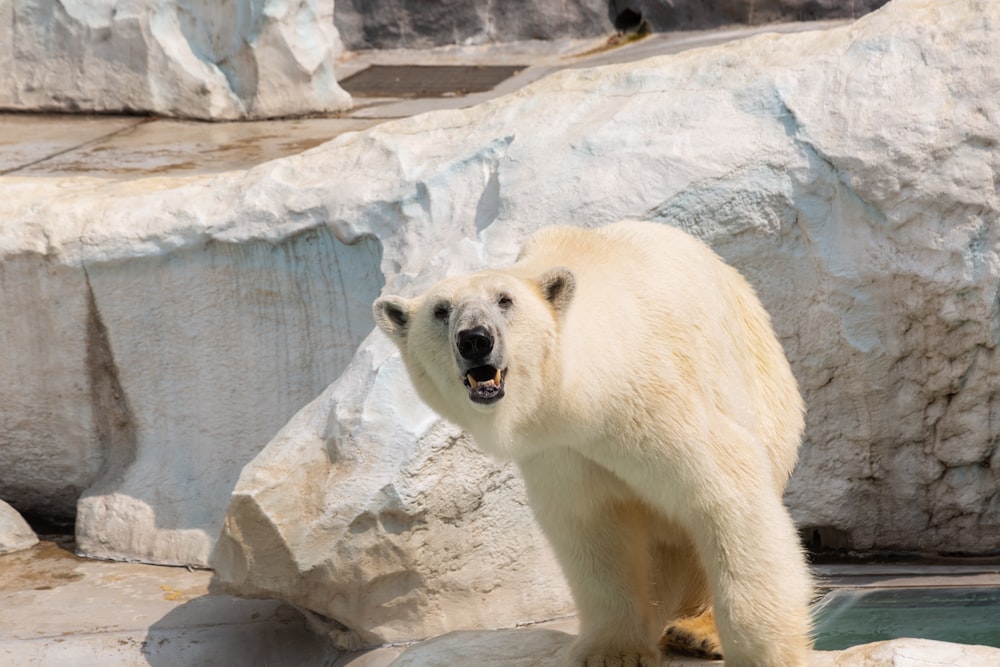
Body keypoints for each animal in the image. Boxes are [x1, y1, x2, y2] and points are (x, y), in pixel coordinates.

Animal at [374, 222, 812, 664]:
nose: (475, 339)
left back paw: (696, 631)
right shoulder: (559, 450)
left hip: (765, 391)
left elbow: (726, 491)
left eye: (504, 300)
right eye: (441, 310)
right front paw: (611, 650)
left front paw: (764, 651)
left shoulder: (650, 402)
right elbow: (592, 523)